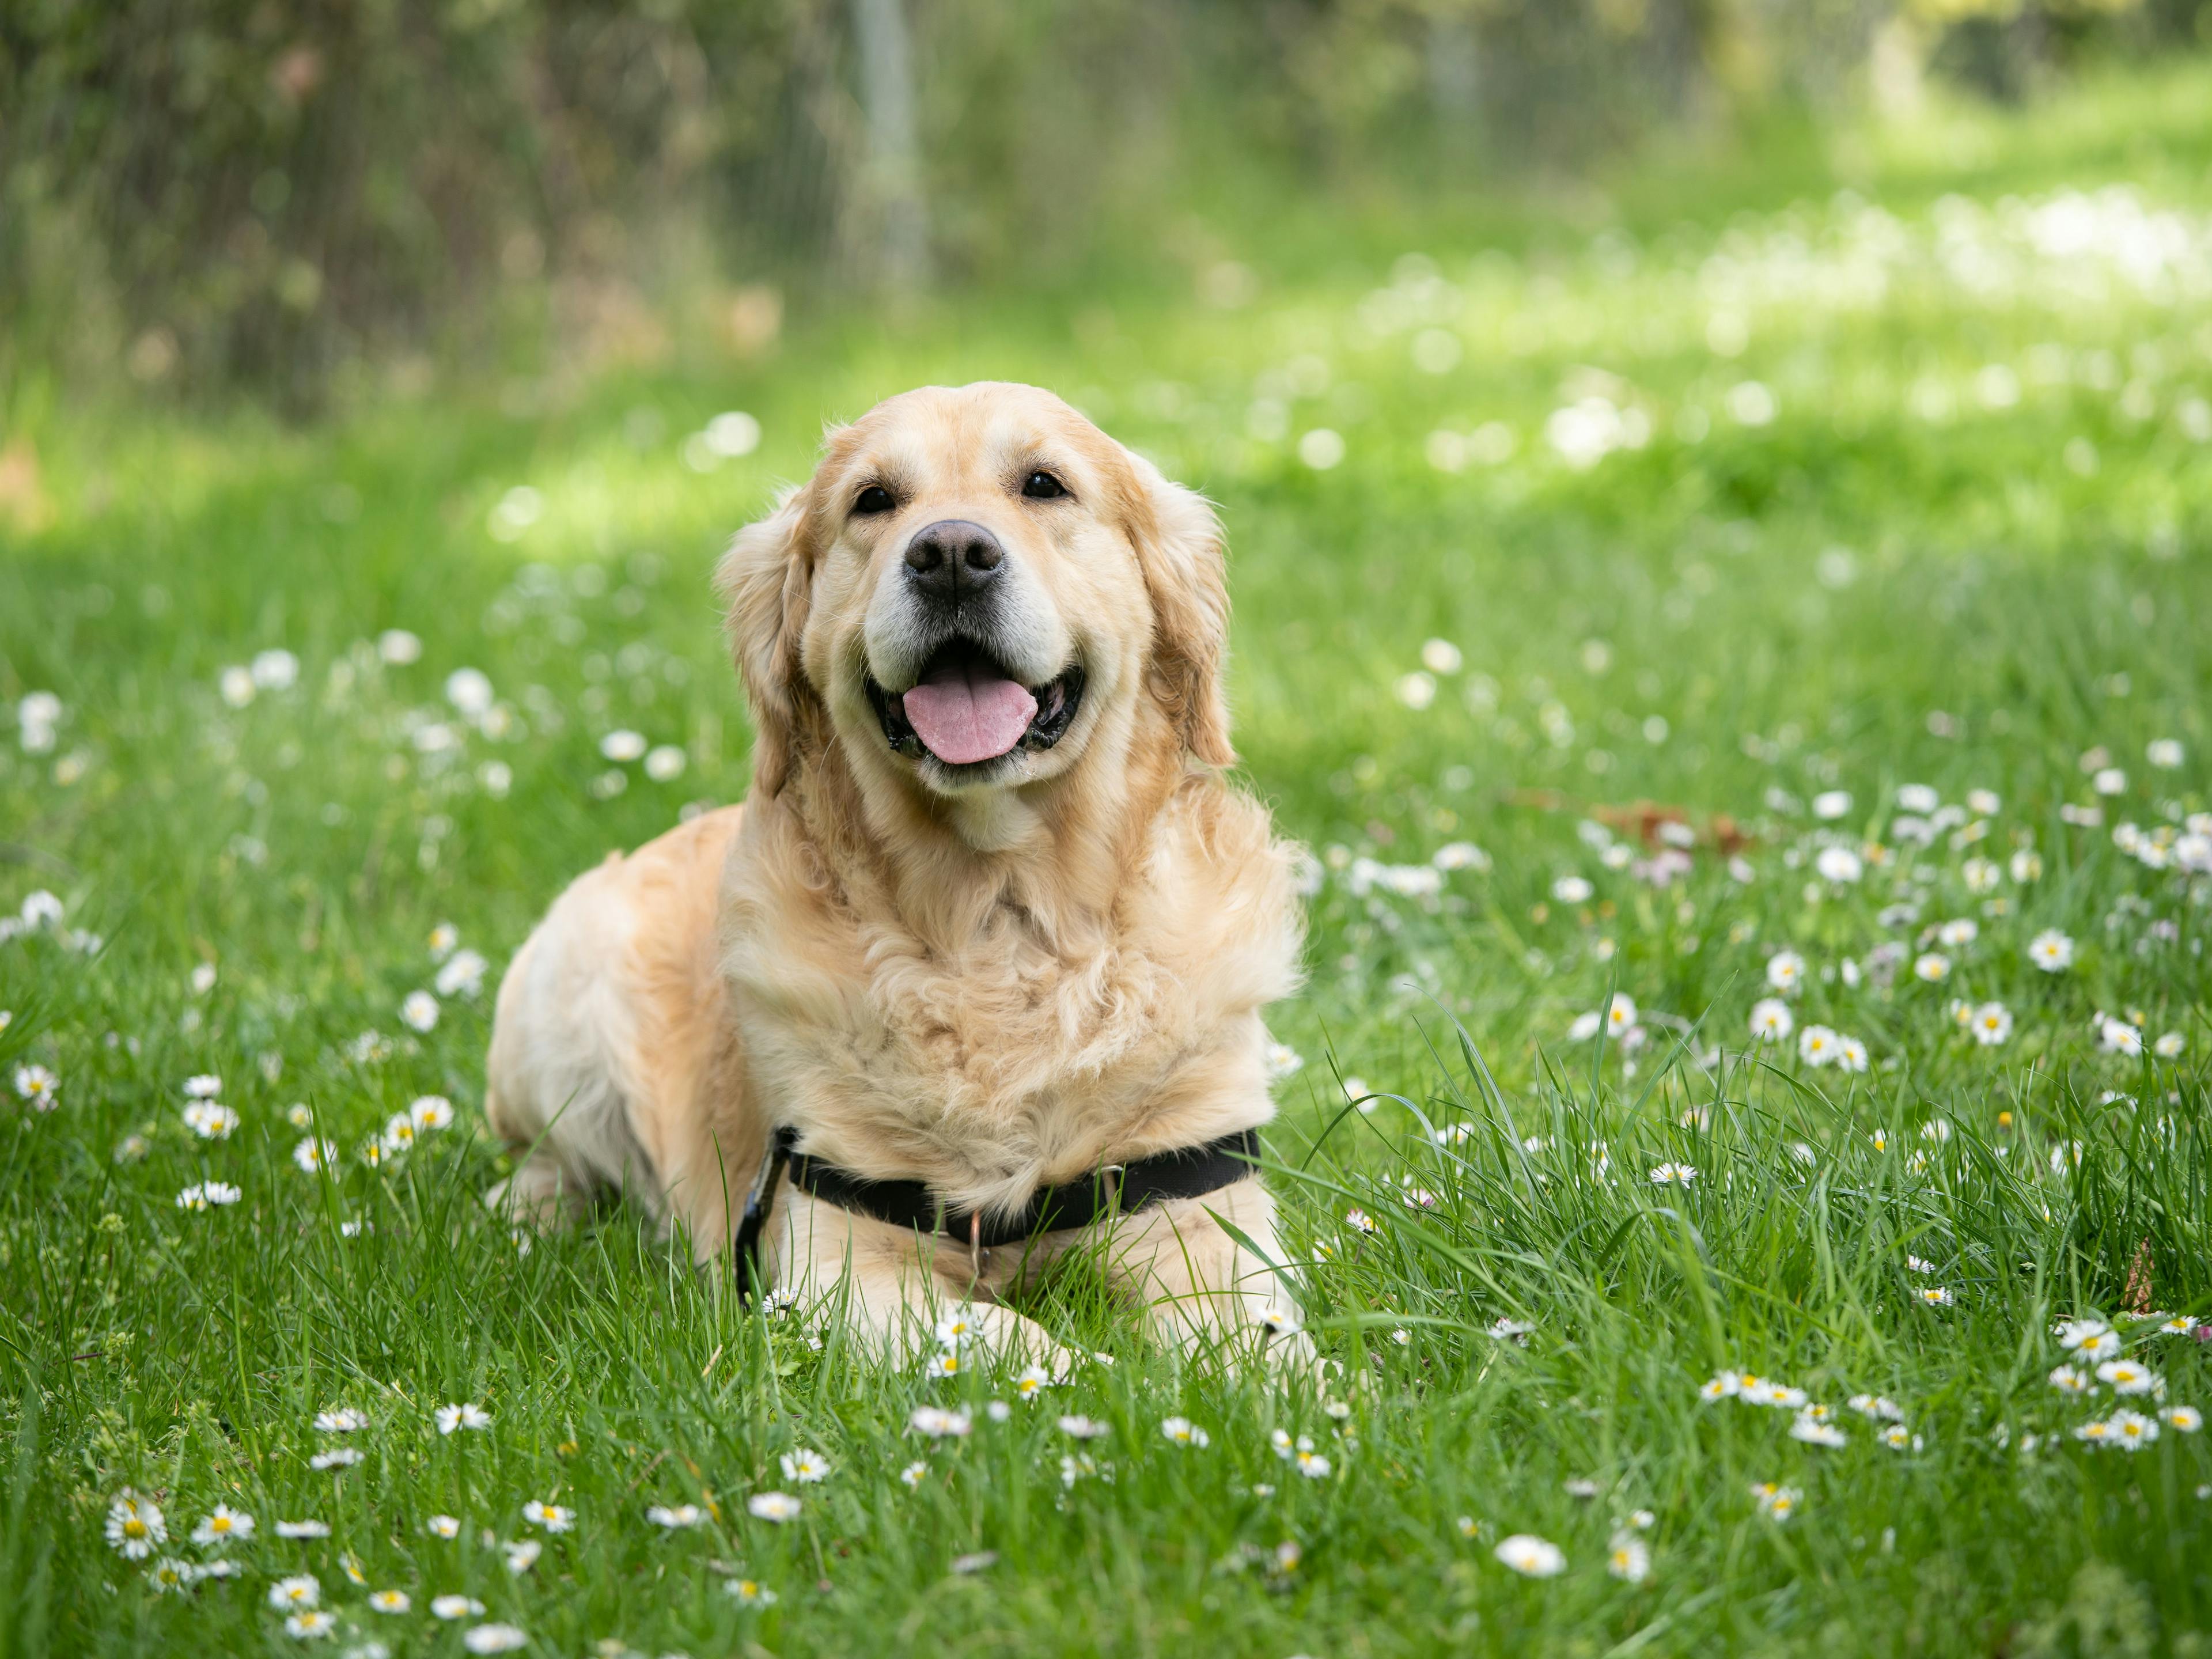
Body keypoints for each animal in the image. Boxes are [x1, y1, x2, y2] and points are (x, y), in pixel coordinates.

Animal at [484, 382, 1300, 1371]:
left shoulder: (1202, 1210)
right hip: (561, 998)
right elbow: (1015, 1342)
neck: (1000, 918)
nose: (951, 555)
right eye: (873, 501)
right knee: (545, 1159)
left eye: (1044, 485)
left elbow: (1258, 1342)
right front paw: (1099, 1379)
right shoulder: (835, 1260)